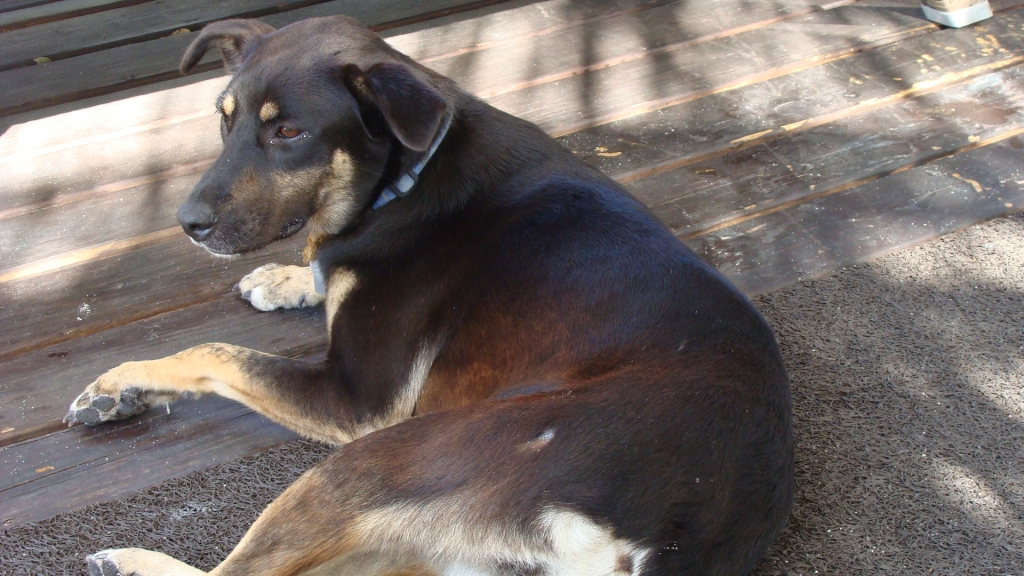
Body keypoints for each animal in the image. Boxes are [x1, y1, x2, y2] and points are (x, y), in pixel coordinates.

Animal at [68, 15, 794, 573]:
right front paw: (286, 279)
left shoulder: (354, 401)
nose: (187, 222)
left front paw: (119, 382)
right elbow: (314, 271)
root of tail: (668, 533)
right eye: (226, 122)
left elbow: (215, 352)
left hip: (372, 464)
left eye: (289, 132)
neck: (405, 177)